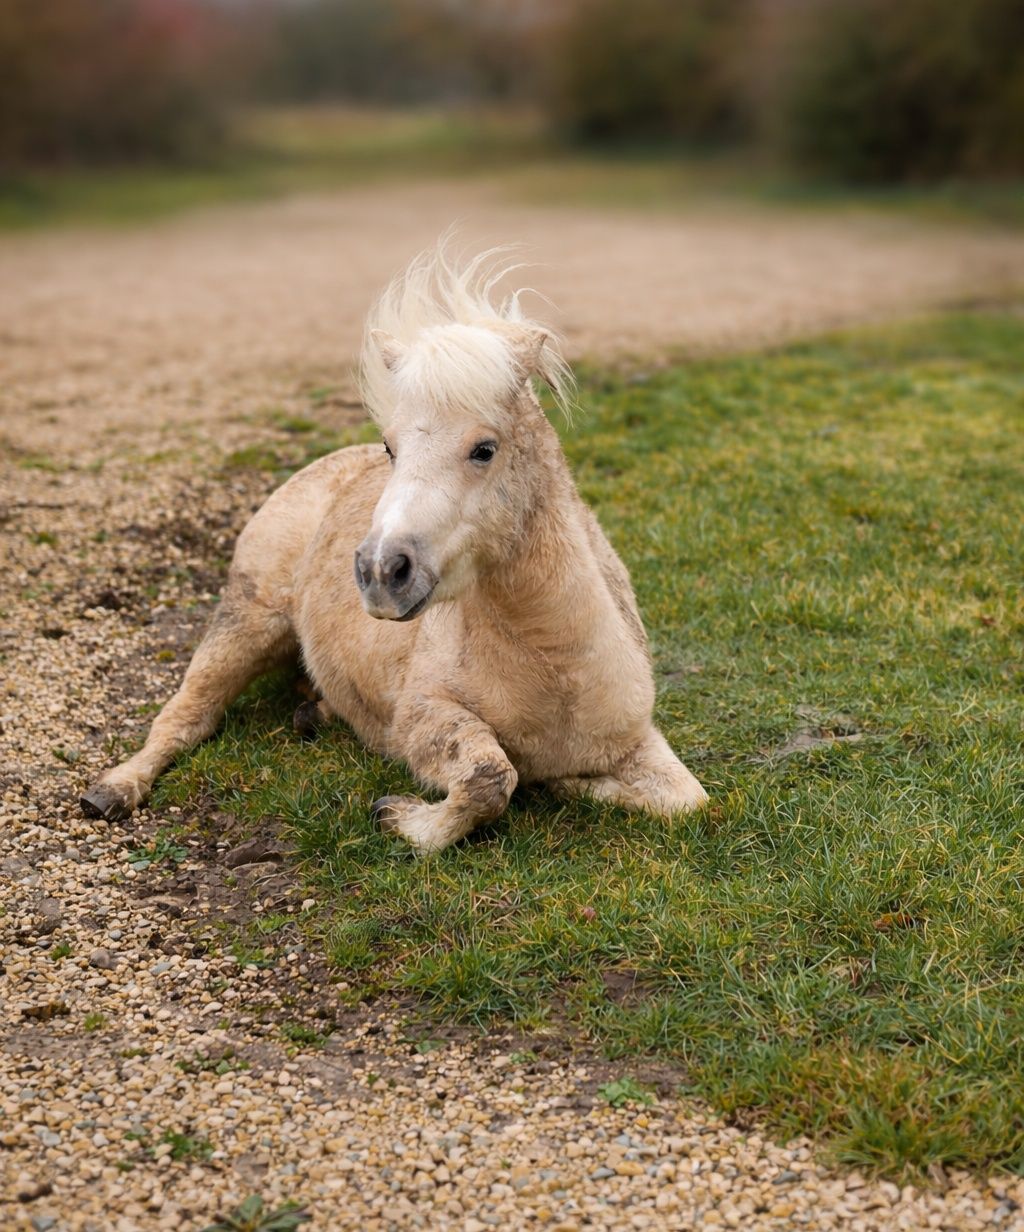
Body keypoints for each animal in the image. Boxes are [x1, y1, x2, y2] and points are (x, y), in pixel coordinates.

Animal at [81, 244, 708, 853]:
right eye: (391, 447)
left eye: (484, 449)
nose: (382, 571)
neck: (555, 669)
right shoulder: (422, 718)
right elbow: (490, 777)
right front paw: (400, 818)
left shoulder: (641, 747)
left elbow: (687, 802)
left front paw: (565, 783)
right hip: (245, 623)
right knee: (187, 717)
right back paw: (114, 790)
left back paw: (315, 711)